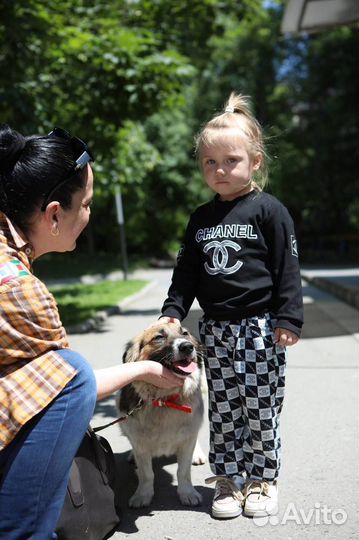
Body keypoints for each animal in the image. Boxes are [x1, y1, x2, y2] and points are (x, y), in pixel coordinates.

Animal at [116, 322, 207, 508]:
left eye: (184, 333)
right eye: (158, 337)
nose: (188, 347)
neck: (164, 400)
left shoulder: (187, 439)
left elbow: (183, 471)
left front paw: (187, 493)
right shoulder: (140, 443)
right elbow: (146, 474)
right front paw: (143, 495)